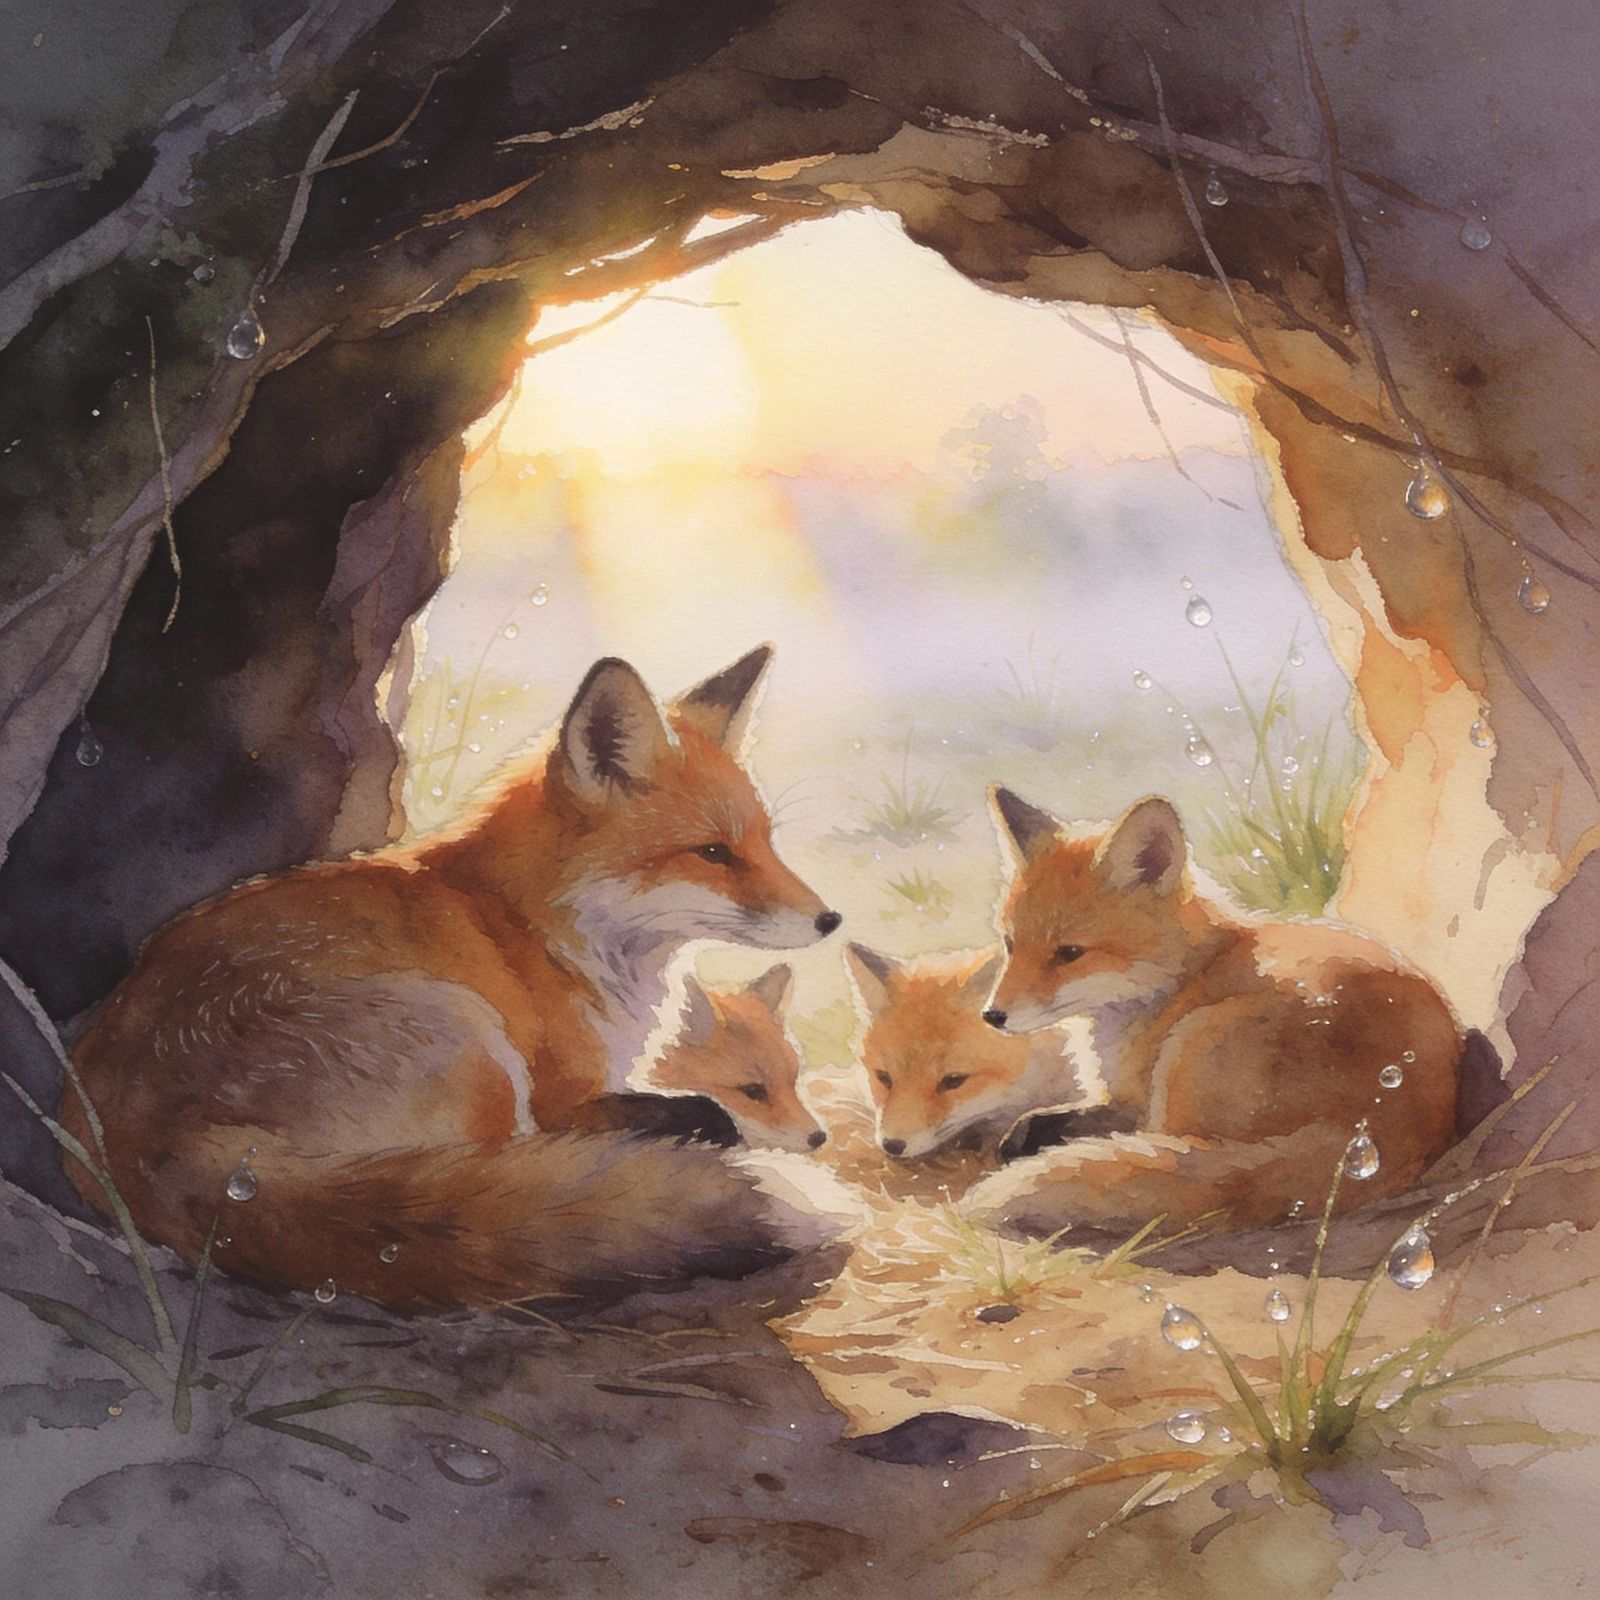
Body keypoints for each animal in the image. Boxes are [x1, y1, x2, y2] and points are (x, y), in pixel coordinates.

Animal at [61, 646, 847, 1309]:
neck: (537, 925)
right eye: (713, 852)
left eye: (765, 843)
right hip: (470, 1037)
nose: (832, 919)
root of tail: (173, 1157)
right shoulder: (562, 1094)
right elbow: (616, 1117)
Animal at [964, 787, 1482, 1242]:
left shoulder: (1144, 1095)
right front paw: (1025, 1133)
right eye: (1010, 944)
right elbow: (1053, 1118)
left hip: (1191, 1044)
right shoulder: (1127, 1096)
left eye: (1070, 953)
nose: (993, 1016)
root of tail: (1374, 1129)